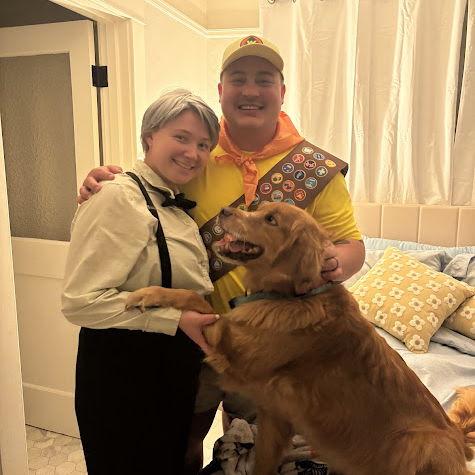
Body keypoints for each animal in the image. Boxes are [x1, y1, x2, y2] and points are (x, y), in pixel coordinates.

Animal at [126, 202, 475, 475]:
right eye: (256, 208)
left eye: (270, 220)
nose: (224, 211)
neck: (292, 296)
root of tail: (458, 438)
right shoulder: (273, 416)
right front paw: (149, 293)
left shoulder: (235, 354)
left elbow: (194, 299)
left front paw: (146, 294)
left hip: (416, 442)